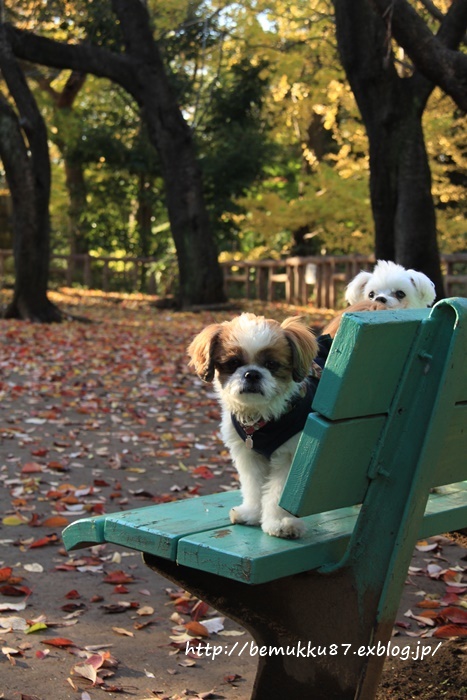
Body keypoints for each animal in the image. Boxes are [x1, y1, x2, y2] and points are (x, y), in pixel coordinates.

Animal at [188, 314, 320, 540]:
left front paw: (280, 522)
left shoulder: (291, 459)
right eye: (233, 363)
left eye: (271, 364)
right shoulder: (248, 456)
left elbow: (278, 492)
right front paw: (252, 513)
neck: (260, 419)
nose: (252, 374)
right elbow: (254, 486)